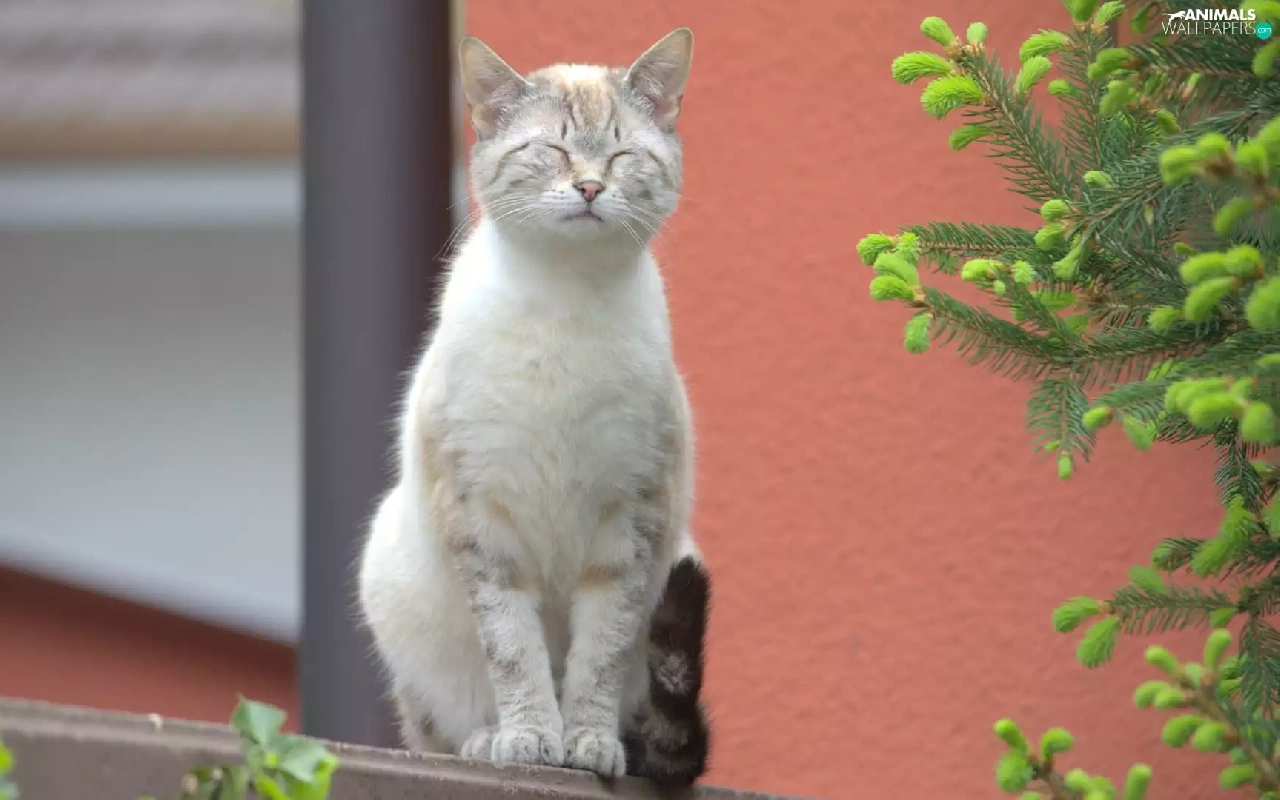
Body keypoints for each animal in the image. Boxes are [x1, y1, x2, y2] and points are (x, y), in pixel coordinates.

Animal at [356, 28, 712, 785]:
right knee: (439, 728)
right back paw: (484, 741)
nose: (590, 186)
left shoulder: (628, 521)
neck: (565, 303)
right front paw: (528, 740)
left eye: (621, 154)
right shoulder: (481, 517)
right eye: (552, 149)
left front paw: (587, 745)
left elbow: (598, 657)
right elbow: (514, 650)